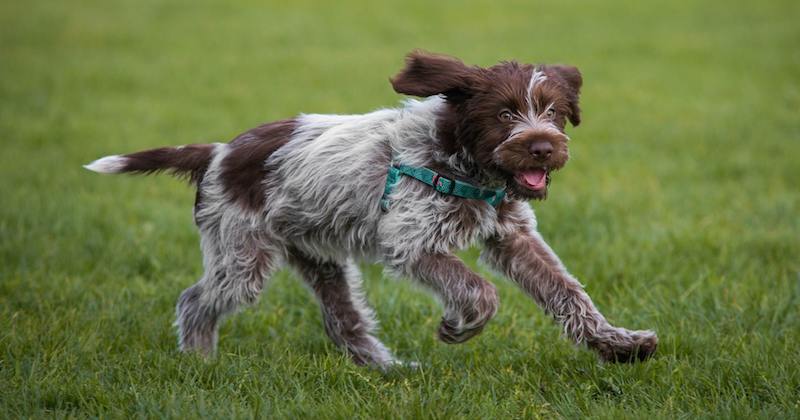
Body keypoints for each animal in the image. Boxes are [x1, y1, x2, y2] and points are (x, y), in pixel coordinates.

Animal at [84, 51, 656, 368]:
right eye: (504, 113)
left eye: (554, 112)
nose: (542, 148)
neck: (461, 160)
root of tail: (218, 152)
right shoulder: (413, 241)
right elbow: (480, 290)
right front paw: (458, 328)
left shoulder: (513, 237)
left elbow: (568, 294)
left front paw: (618, 344)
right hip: (242, 253)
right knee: (195, 301)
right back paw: (200, 363)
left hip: (318, 257)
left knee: (345, 322)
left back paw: (388, 369)